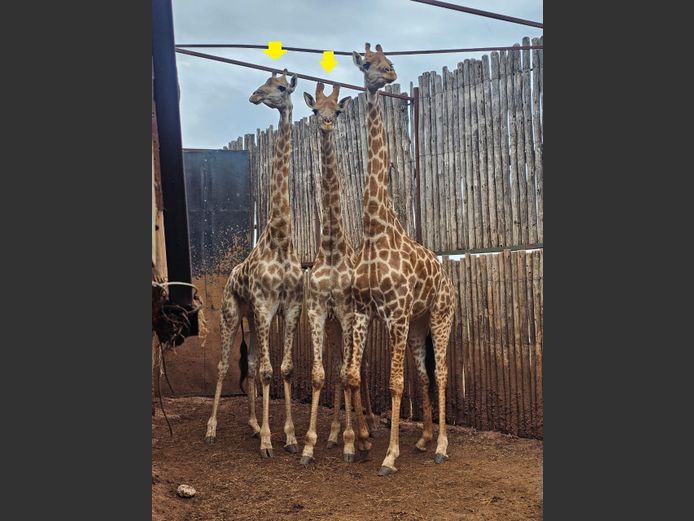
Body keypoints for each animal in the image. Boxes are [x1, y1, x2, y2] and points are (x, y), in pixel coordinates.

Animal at [204, 70, 304, 459]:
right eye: (265, 82)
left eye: (281, 87)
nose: (255, 95)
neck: (280, 239)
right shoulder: (264, 303)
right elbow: (265, 372)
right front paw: (267, 443)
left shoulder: (289, 306)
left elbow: (284, 369)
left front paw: (288, 437)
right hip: (233, 312)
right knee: (223, 365)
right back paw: (212, 429)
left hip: (249, 316)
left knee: (248, 362)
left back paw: (252, 424)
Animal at [348, 43, 456, 476]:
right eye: (368, 63)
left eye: (388, 60)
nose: (390, 74)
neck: (375, 229)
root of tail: (448, 280)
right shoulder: (364, 310)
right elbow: (355, 374)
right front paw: (362, 445)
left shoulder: (394, 312)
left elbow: (394, 384)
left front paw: (389, 456)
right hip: (418, 323)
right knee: (424, 375)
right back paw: (425, 439)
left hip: (441, 317)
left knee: (441, 374)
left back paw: (442, 445)